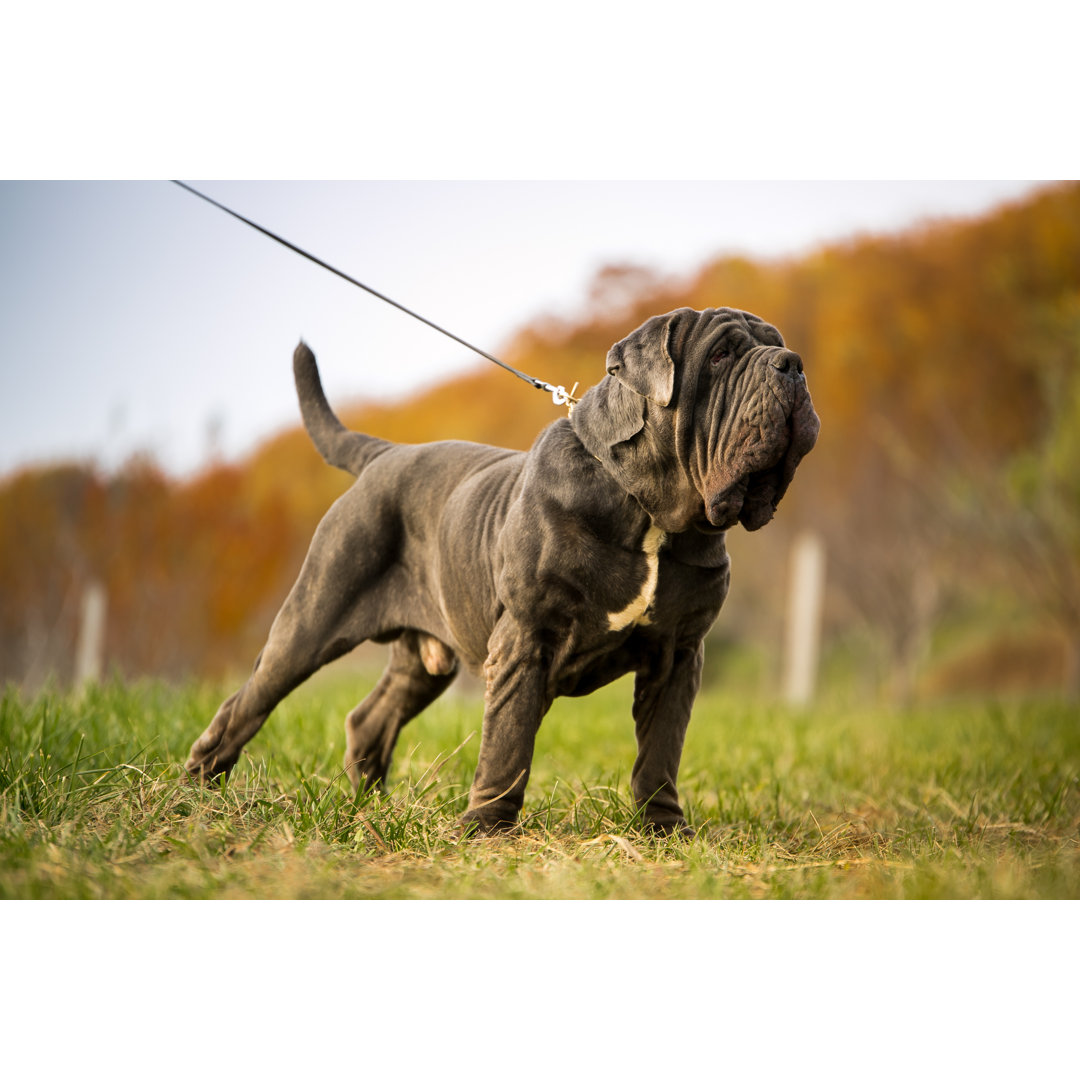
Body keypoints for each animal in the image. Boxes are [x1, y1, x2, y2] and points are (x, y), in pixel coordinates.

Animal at [185, 304, 816, 833]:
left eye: (777, 346)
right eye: (721, 355)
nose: (792, 364)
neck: (648, 510)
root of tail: (384, 454)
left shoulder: (678, 654)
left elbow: (661, 749)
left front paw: (664, 830)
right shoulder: (526, 638)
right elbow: (509, 739)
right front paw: (487, 828)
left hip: (423, 660)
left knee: (370, 719)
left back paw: (371, 808)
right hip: (311, 620)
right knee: (246, 704)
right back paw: (196, 794)